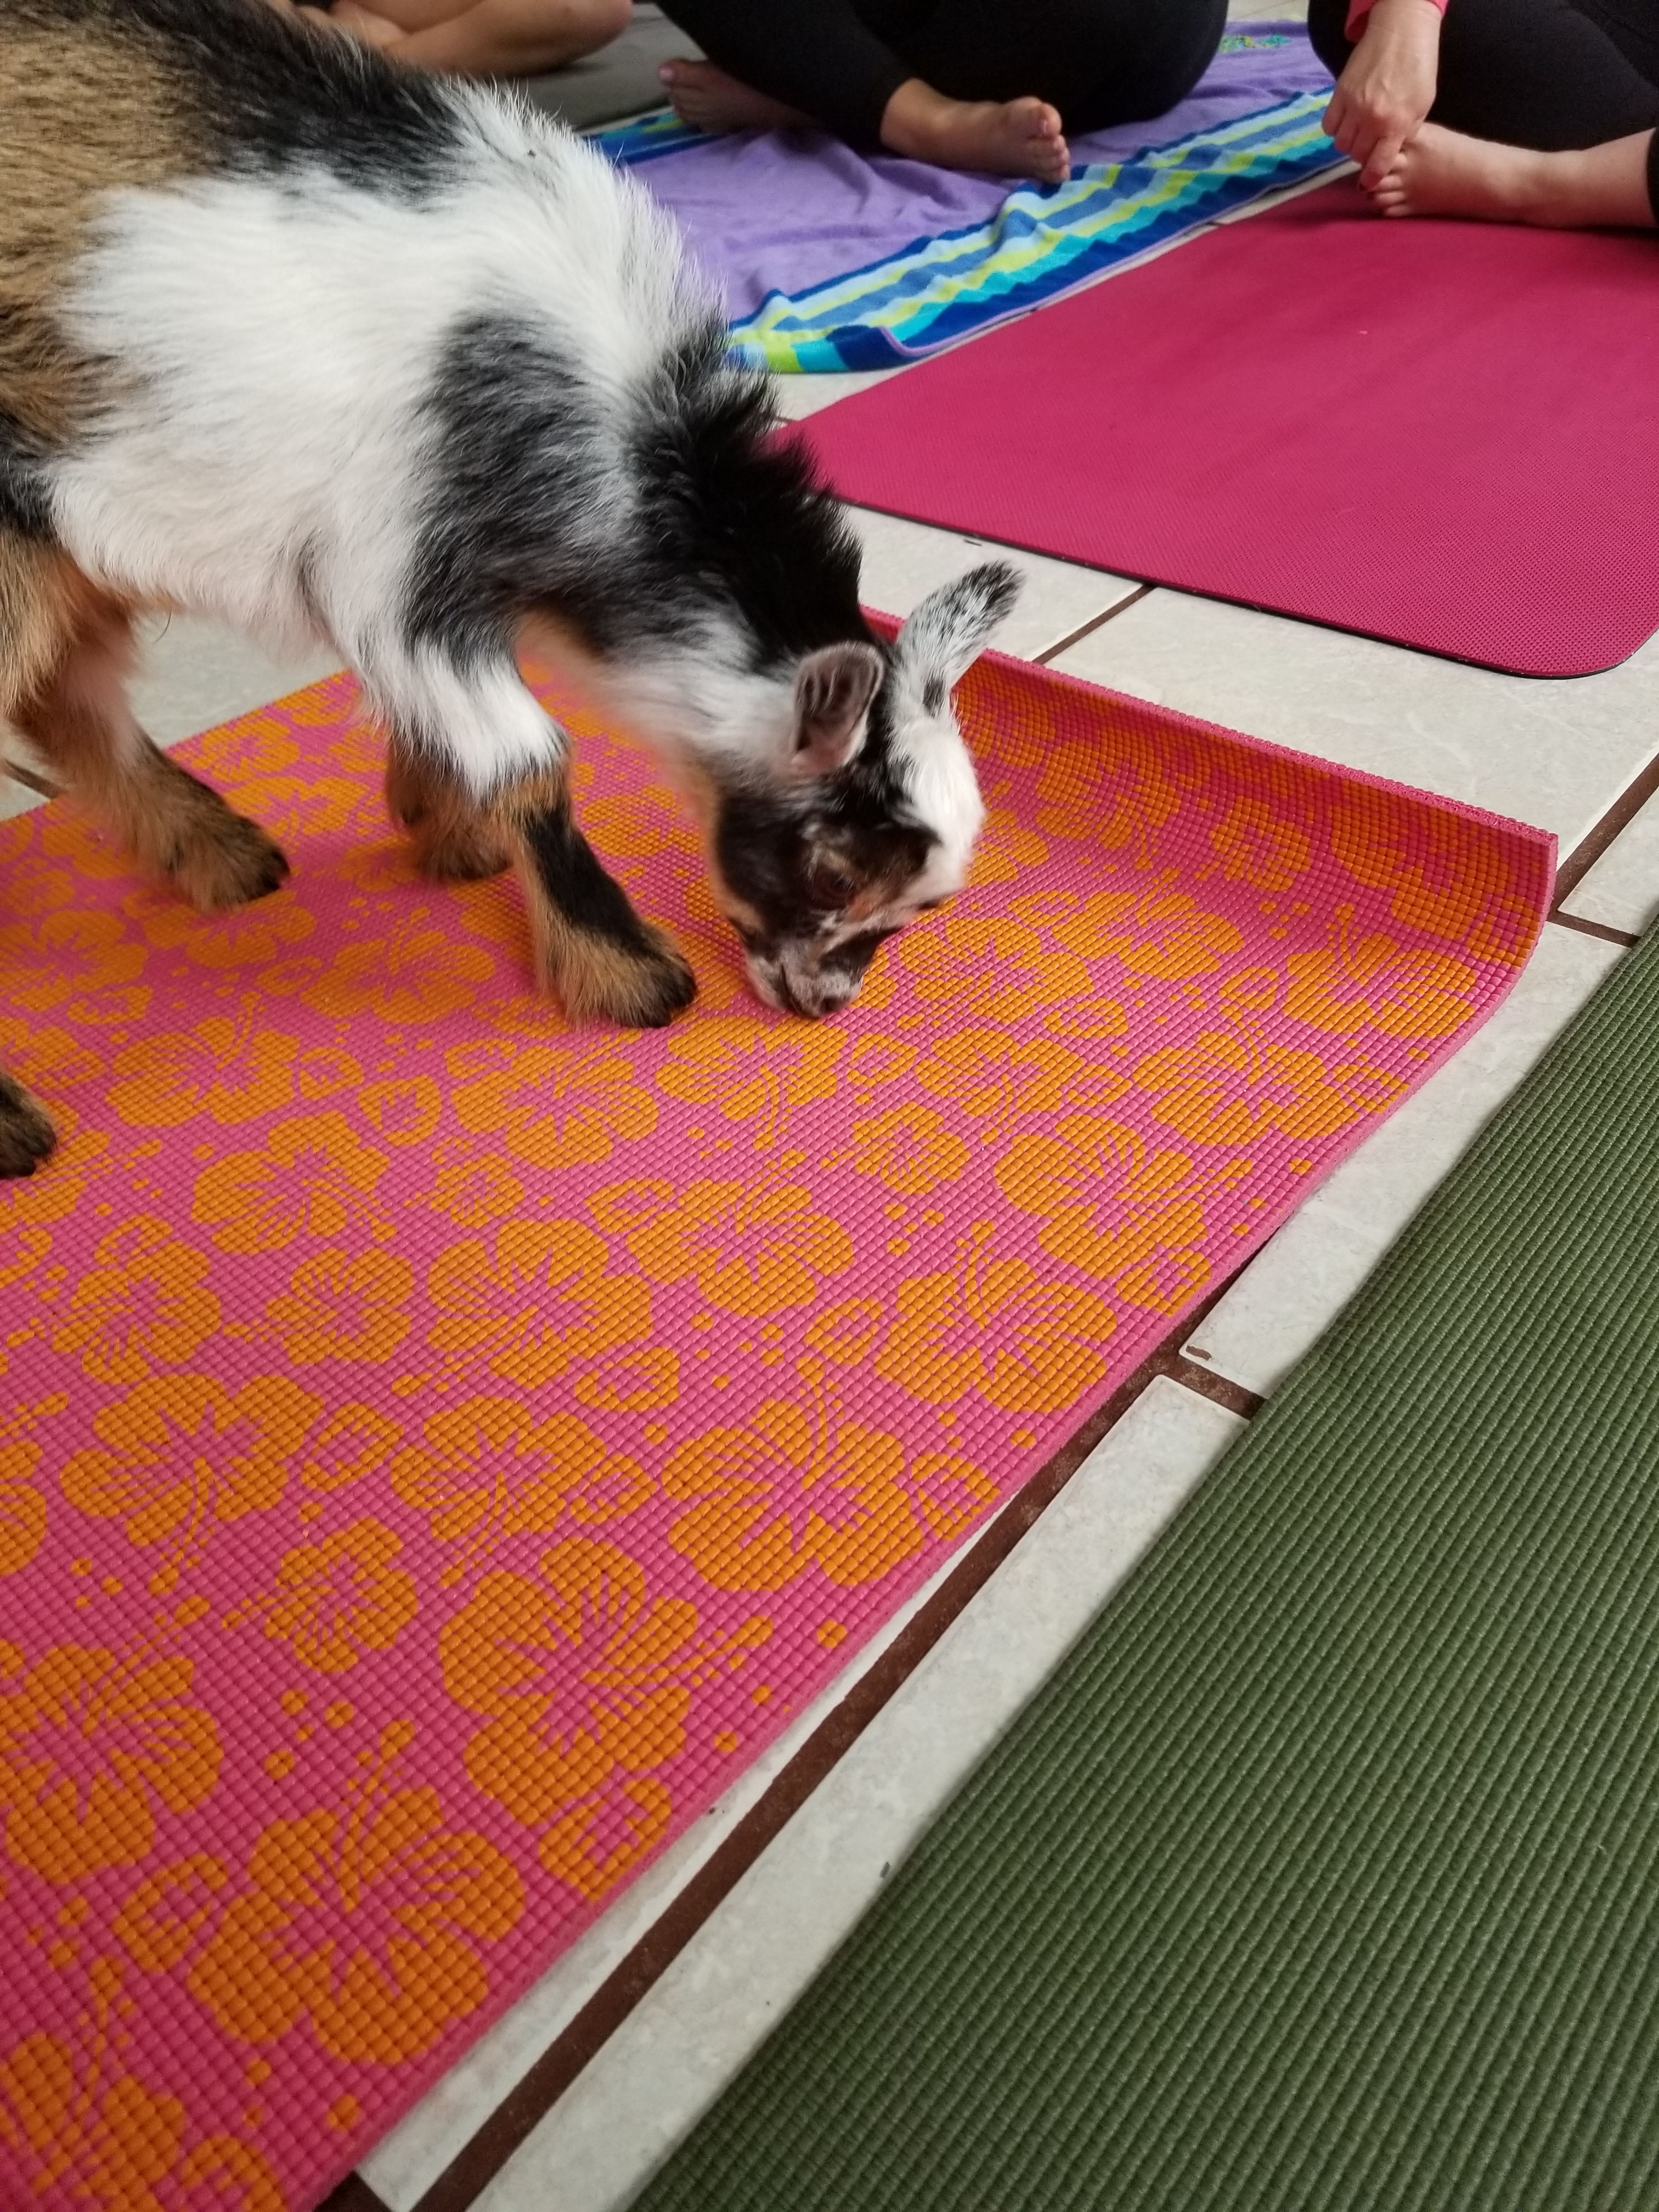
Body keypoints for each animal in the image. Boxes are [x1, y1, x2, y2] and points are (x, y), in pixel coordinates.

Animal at [0, 0, 1018, 1177]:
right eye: (830, 876)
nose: (823, 1006)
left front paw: (444, 833)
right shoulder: (400, 565)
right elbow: (528, 756)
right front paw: (625, 974)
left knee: (66, 695)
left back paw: (216, 851)